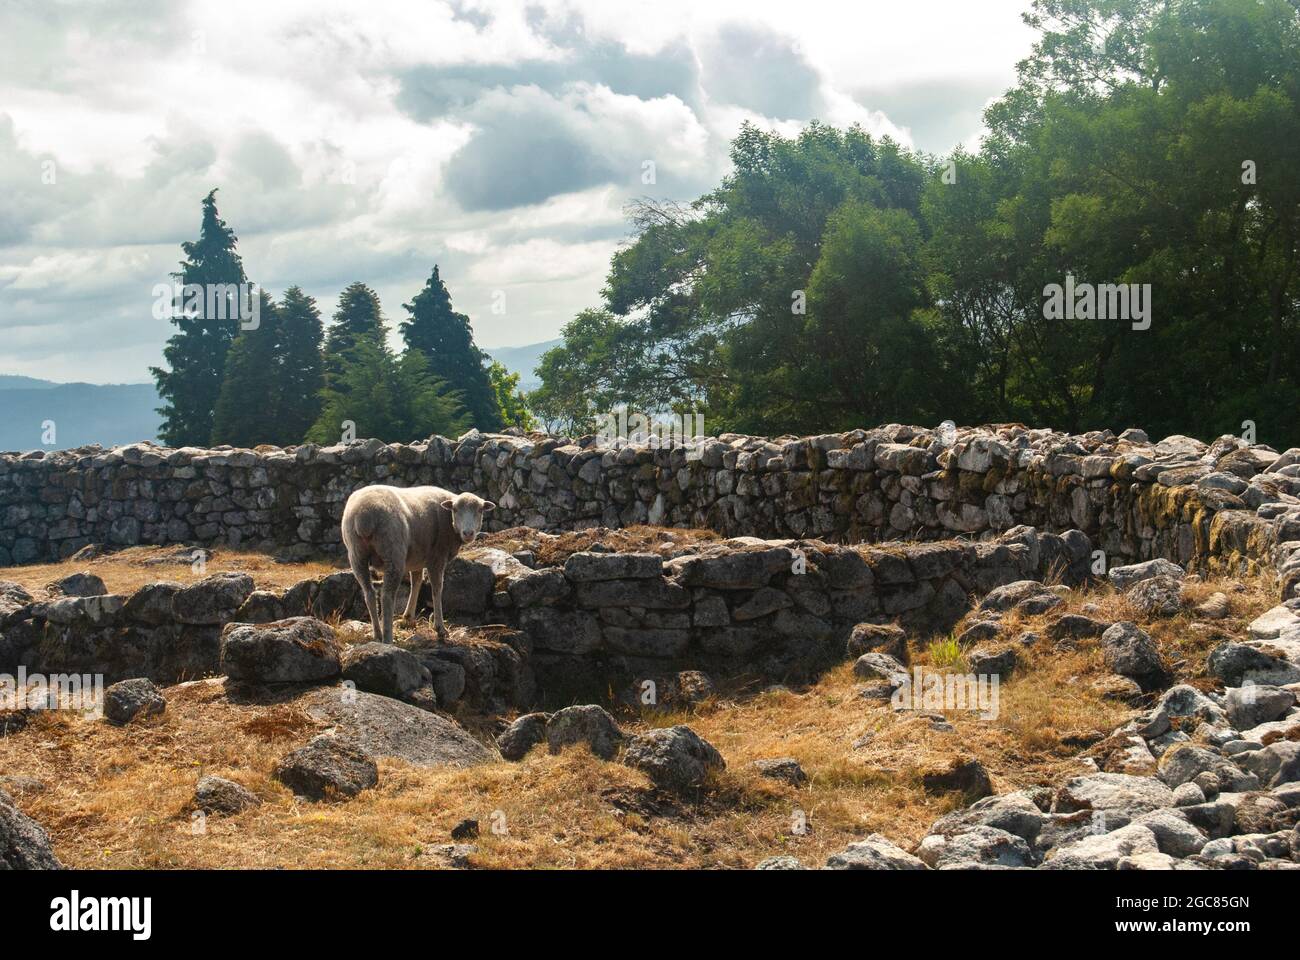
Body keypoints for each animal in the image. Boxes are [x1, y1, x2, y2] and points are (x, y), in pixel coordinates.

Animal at [340, 485, 495, 644]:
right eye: (455, 509)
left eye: (480, 510)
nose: (468, 533)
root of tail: (364, 516)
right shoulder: (437, 557)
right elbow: (437, 589)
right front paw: (440, 628)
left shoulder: (417, 558)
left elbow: (416, 582)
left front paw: (408, 618)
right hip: (393, 553)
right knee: (387, 596)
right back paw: (388, 638)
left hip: (357, 555)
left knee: (369, 593)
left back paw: (377, 634)